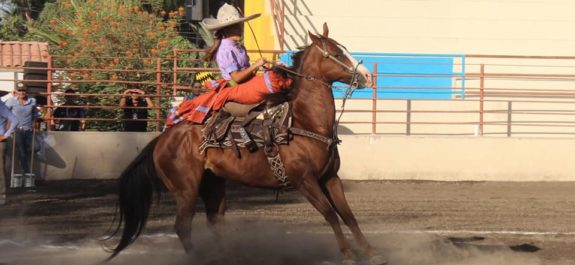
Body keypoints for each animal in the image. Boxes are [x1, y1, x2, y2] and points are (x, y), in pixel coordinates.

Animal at [108, 23, 388, 264]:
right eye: (336, 54)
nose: (366, 75)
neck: (305, 124)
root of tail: (163, 138)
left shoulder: (330, 178)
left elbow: (348, 215)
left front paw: (372, 252)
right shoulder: (305, 181)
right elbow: (330, 214)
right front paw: (348, 255)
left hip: (213, 183)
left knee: (215, 220)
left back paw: (227, 256)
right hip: (185, 188)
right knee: (183, 226)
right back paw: (200, 257)